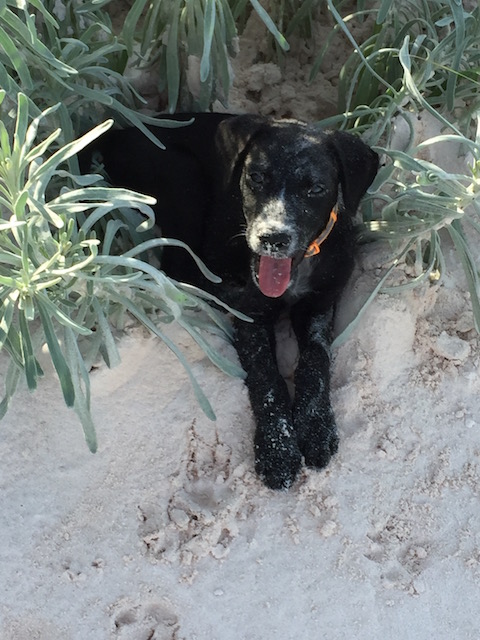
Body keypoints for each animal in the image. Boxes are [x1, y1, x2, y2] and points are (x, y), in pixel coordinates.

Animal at [82, 112, 378, 488]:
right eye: (256, 177)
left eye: (315, 189)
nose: (272, 238)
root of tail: (117, 132)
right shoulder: (252, 314)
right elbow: (266, 376)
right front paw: (276, 449)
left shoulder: (320, 305)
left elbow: (315, 361)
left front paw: (315, 427)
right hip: (183, 178)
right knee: (180, 267)